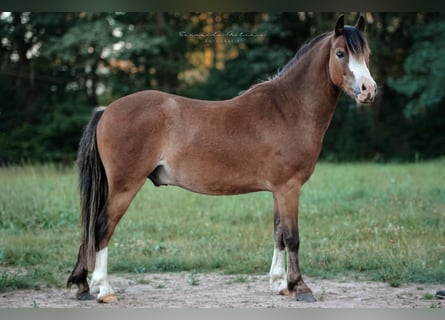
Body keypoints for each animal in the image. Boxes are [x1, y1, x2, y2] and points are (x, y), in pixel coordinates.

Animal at [67, 15, 376, 304]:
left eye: (367, 54)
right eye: (340, 53)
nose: (368, 90)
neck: (288, 109)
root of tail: (107, 109)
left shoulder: (279, 189)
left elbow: (278, 233)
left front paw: (279, 284)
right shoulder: (289, 188)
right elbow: (292, 237)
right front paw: (299, 287)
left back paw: (83, 285)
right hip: (124, 187)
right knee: (102, 227)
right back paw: (104, 289)